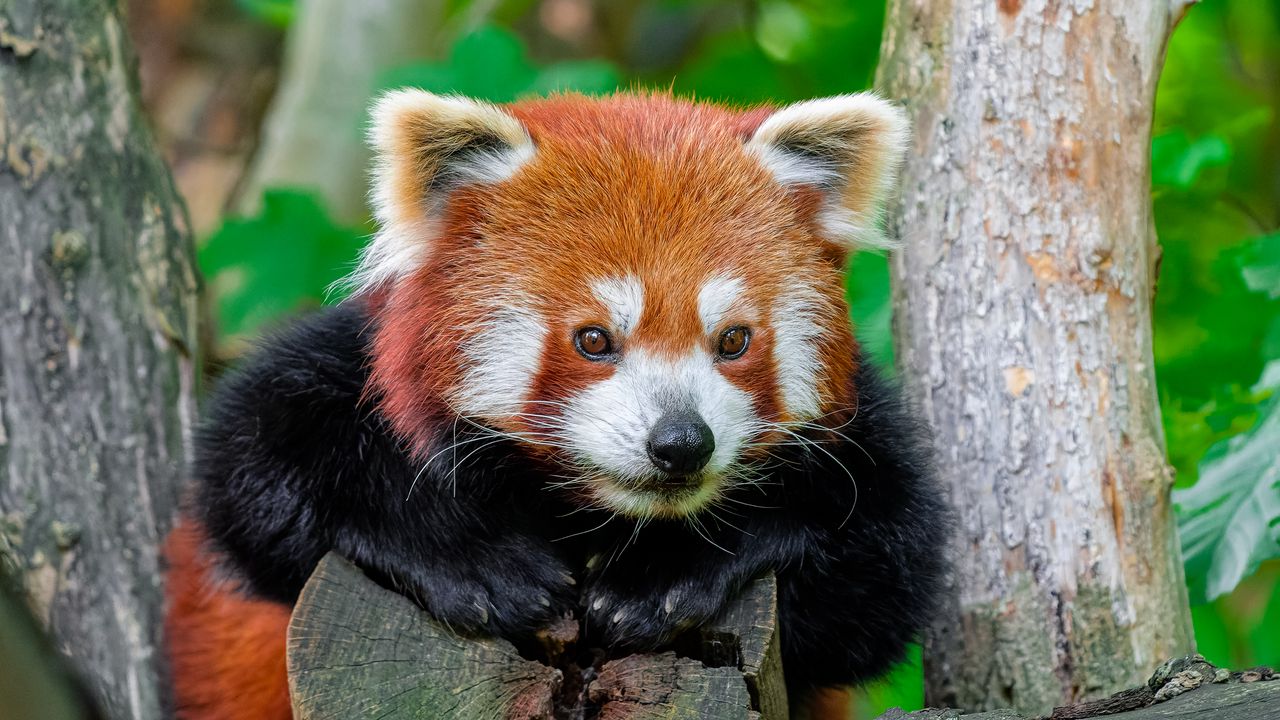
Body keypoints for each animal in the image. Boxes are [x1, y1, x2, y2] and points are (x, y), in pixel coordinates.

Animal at [162, 89, 952, 717]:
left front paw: (663, 577)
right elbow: (251, 475)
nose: (681, 442)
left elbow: (882, 581)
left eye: (733, 340)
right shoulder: (336, 369)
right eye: (594, 339)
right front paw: (477, 561)